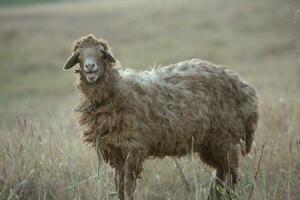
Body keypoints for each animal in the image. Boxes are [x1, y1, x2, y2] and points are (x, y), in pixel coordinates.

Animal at [62, 34, 258, 200]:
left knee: (230, 175)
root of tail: (246, 89)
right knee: (221, 173)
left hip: (226, 137)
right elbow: (119, 185)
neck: (119, 91)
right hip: (211, 143)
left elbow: (128, 185)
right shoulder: (116, 151)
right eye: (79, 54)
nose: (90, 67)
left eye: (101, 53)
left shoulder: (134, 148)